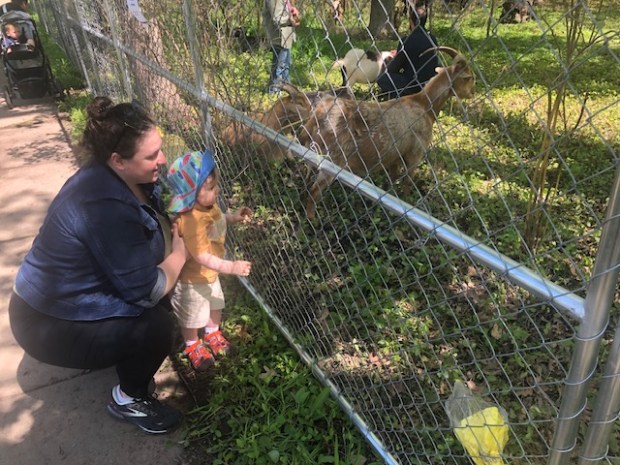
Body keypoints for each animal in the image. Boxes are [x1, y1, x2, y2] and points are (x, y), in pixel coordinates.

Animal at [280, 47, 474, 219]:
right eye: (469, 77)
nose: (471, 93)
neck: (424, 104)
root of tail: (316, 116)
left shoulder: (395, 155)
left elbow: (393, 181)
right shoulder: (415, 153)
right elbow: (407, 182)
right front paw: (406, 201)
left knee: (307, 182)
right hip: (332, 160)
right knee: (314, 190)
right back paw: (312, 217)